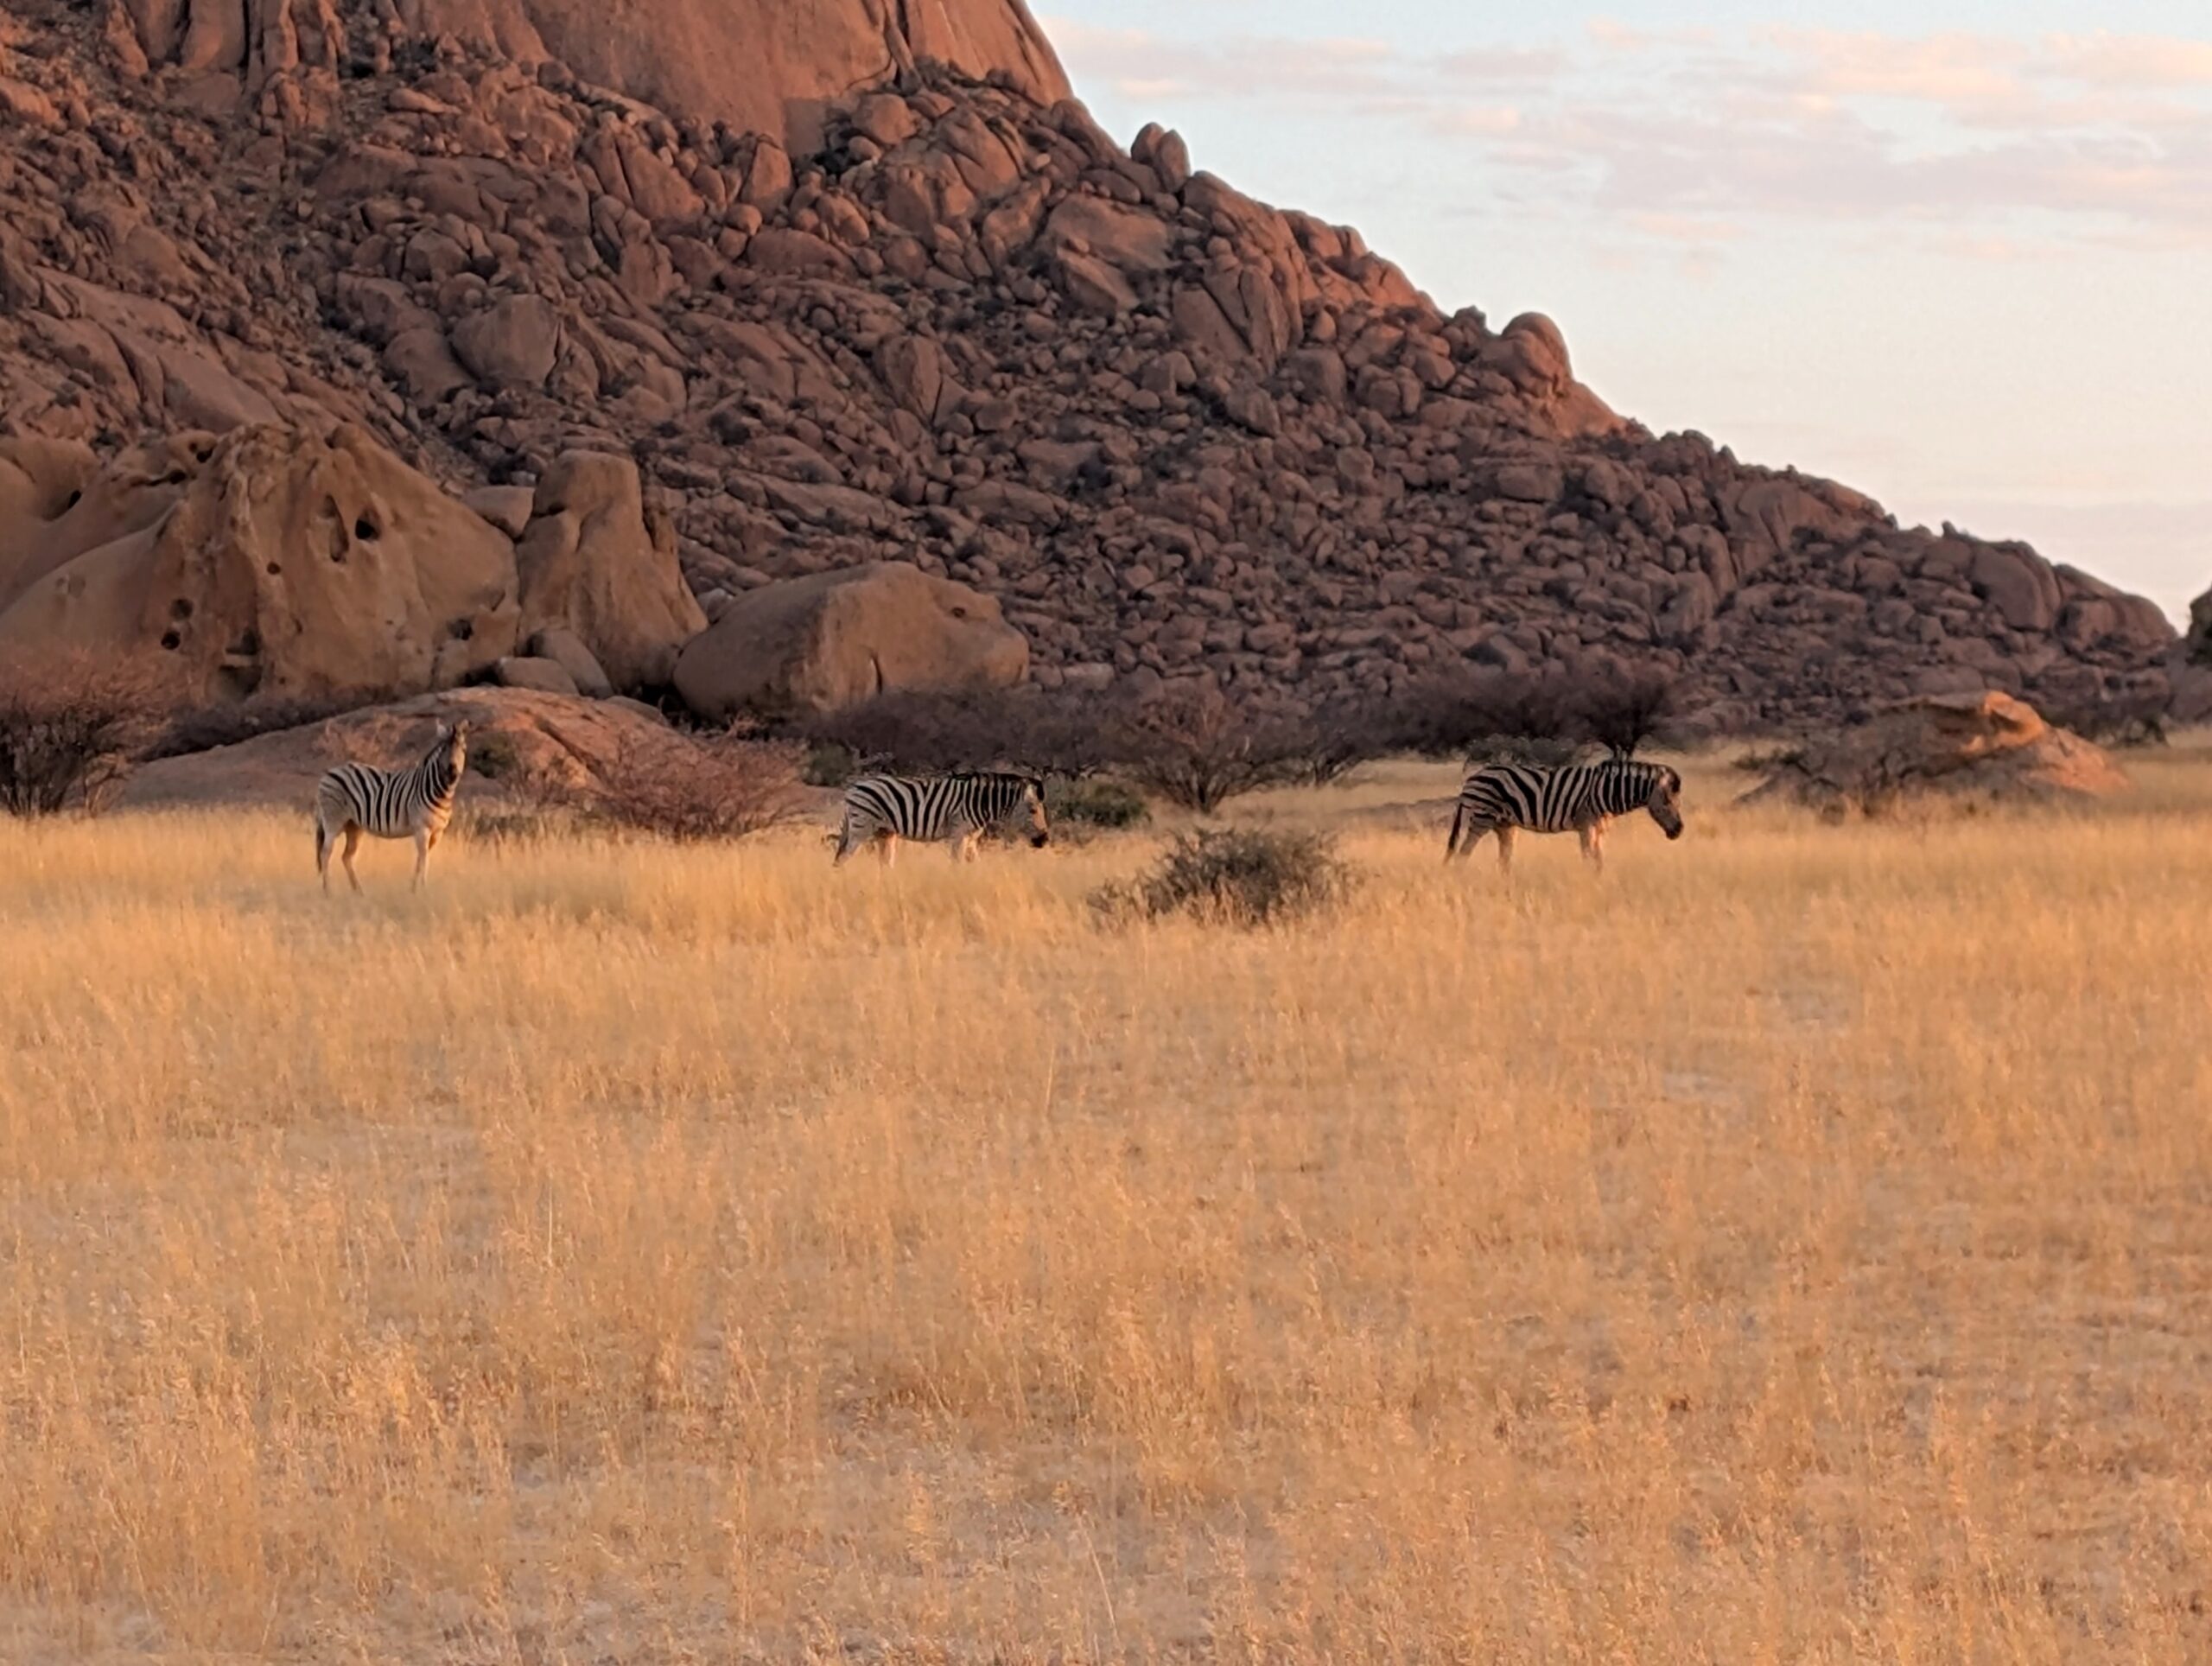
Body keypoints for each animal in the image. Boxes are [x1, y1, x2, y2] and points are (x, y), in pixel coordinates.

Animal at [314, 719, 470, 894]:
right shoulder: (421, 828)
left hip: (353, 825)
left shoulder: (437, 832)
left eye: (463, 749)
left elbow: (420, 860)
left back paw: (360, 893)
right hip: (333, 820)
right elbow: (424, 859)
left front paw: (414, 890)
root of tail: (329, 772)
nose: (452, 774)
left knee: (346, 857)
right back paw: (328, 892)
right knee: (325, 853)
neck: (441, 793)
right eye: (444, 750)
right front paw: (424, 890)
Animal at [833, 771, 1050, 867]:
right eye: (1033, 811)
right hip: (861, 827)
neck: (981, 802)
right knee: (842, 859)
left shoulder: (971, 838)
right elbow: (957, 864)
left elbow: (975, 863)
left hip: (885, 832)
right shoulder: (959, 833)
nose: (1045, 840)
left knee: (885, 864)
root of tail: (853, 787)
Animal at [1446, 757, 1683, 875]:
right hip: (1482, 819)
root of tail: (1471, 779)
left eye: (1678, 802)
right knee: (1462, 855)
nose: (1679, 831)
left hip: (1504, 825)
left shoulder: (1600, 829)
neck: (1608, 791)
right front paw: (1588, 882)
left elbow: (1600, 860)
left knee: (1503, 861)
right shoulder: (1587, 825)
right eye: (1666, 803)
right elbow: (1588, 857)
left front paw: (1600, 881)